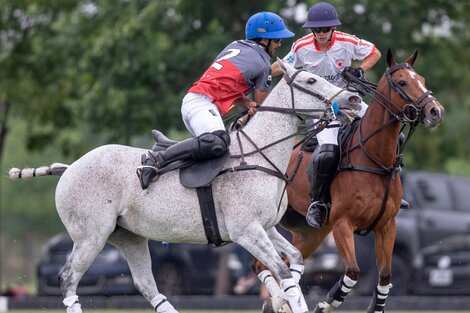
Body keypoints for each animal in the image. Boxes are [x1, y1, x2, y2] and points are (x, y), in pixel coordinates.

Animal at [9, 59, 360, 310]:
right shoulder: (246, 231)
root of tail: (69, 167)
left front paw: (281, 302)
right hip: (90, 236)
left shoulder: (267, 228)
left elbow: (295, 262)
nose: (353, 98)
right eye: (311, 80)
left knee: (147, 285)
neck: (260, 154)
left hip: (128, 237)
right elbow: (284, 272)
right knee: (68, 278)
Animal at [258, 48, 444, 312]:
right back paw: (279, 302)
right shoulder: (342, 223)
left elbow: (385, 275)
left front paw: (376, 306)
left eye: (422, 80)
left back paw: (280, 302)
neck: (374, 158)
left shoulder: (387, 225)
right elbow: (353, 272)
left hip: (310, 233)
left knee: (282, 261)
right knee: (262, 264)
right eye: (402, 82)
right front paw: (325, 303)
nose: (435, 112)